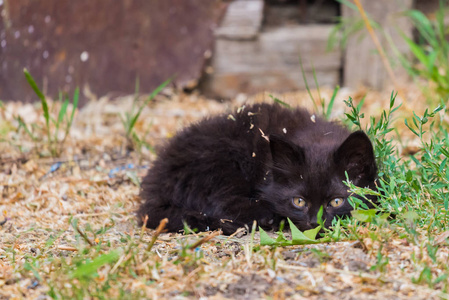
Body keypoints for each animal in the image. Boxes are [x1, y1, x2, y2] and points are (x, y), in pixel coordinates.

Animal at [138, 103, 376, 234]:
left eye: (336, 202)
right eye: (299, 202)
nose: (314, 222)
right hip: (222, 161)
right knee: (221, 204)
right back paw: (264, 216)